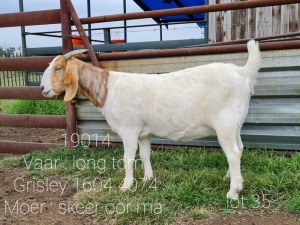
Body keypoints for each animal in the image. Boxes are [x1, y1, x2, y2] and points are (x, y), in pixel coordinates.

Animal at [39, 40, 260, 199]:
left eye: (58, 68)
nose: (42, 89)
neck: (109, 89)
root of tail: (243, 72)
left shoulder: (129, 130)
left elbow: (128, 158)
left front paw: (126, 186)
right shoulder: (143, 132)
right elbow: (145, 154)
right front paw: (147, 179)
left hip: (225, 123)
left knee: (232, 153)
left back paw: (233, 192)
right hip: (235, 124)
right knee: (239, 149)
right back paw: (231, 178)